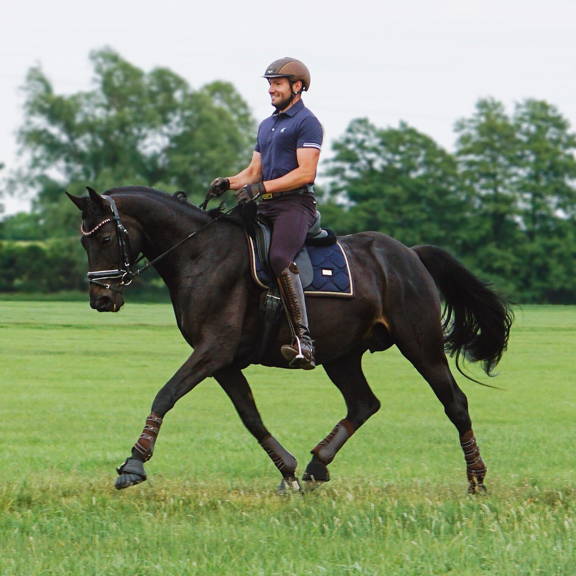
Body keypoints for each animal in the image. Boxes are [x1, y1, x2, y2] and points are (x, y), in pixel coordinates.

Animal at [67, 186, 512, 496]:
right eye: (83, 241)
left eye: (104, 240)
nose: (101, 300)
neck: (200, 254)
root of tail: (409, 254)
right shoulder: (223, 361)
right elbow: (251, 417)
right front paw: (288, 470)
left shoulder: (214, 349)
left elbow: (166, 394)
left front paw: (133, 464)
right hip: (342, 355)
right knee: (364, 403)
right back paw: (318, 465)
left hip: (420, 345)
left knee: (454, 402)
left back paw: (476, 478)